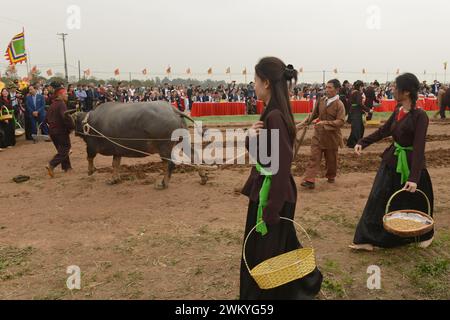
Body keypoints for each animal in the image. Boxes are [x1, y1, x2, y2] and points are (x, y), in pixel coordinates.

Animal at [67, 101, 207, 189]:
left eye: (75, 121)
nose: (74, 132)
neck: (89, 123)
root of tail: (173, 110)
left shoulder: (91, 146)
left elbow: (89, 158)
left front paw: (90, 171)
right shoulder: (117, 150)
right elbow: (115, 164)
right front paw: (114, 179)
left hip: (164, 147)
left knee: (169, 164)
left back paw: (163, 184)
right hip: (183, 141)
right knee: (194, 156)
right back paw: (203, 177)